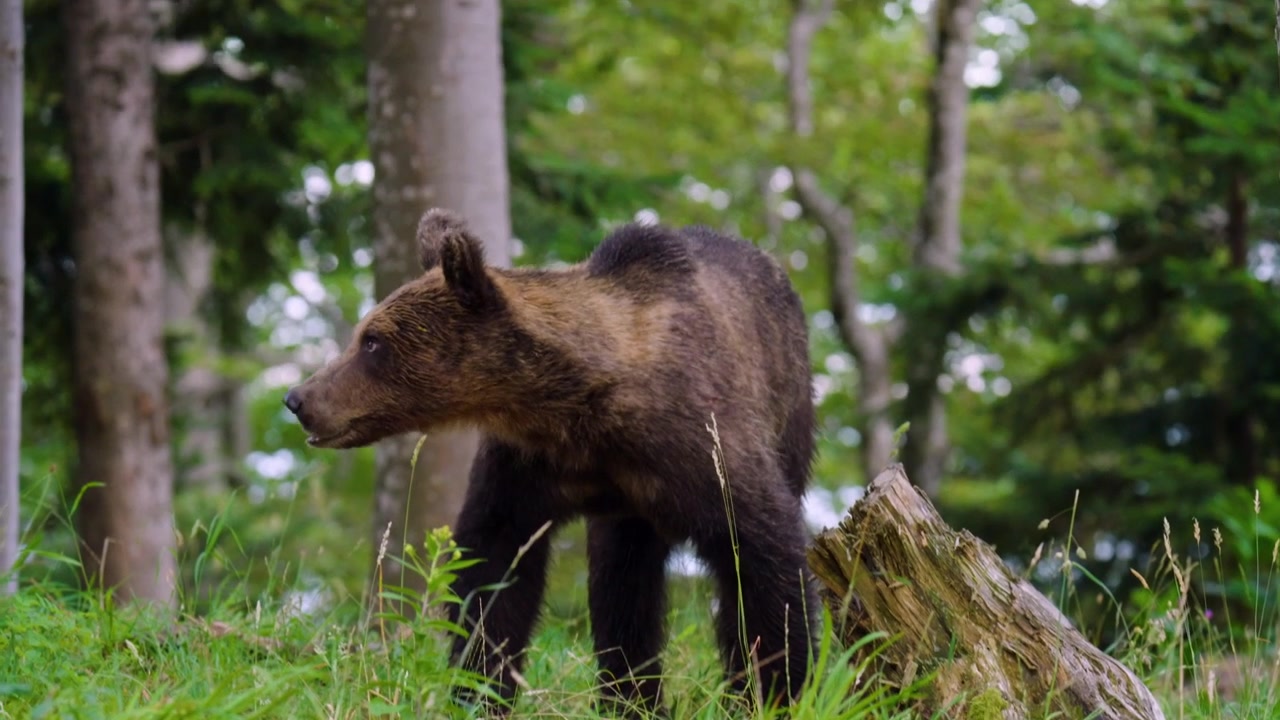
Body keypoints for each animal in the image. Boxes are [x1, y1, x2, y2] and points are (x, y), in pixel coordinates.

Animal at [284, 208, 821, 717]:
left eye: (372, 340)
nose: (299, 398)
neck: (573, 409)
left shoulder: (697, 445)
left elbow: (761, 554)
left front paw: (774, 688)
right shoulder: (527, 465)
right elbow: (493, 569)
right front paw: (479, 688)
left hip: (789, 408)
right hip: (627, 513)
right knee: (622, 579)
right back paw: (629, 698)